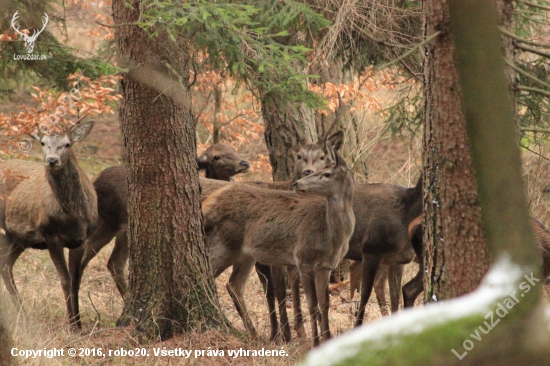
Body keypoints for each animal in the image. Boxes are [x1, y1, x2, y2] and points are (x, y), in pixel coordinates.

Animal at [0, 119, 97, 326]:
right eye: (43, 143)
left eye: (67, 144)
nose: (52, 160)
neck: (74, 217)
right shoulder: (51, 235)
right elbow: (65, 280)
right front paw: (71, 325)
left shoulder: (81, 239)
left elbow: (76, 280)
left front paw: (79, 323)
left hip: (19, 238)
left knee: (5, 264)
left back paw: (24, 315)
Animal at [205, 144, 356, 346]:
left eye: (327, 173)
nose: (297, 183)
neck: (331, 237)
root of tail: (208, 203)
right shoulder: (303, 260)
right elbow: (312, 305)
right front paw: (315, 342)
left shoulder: (326, 266)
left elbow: (325, 305)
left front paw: (327, 339)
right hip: (223, 245)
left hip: (246, 255)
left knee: (234, 285)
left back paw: (255, 336)